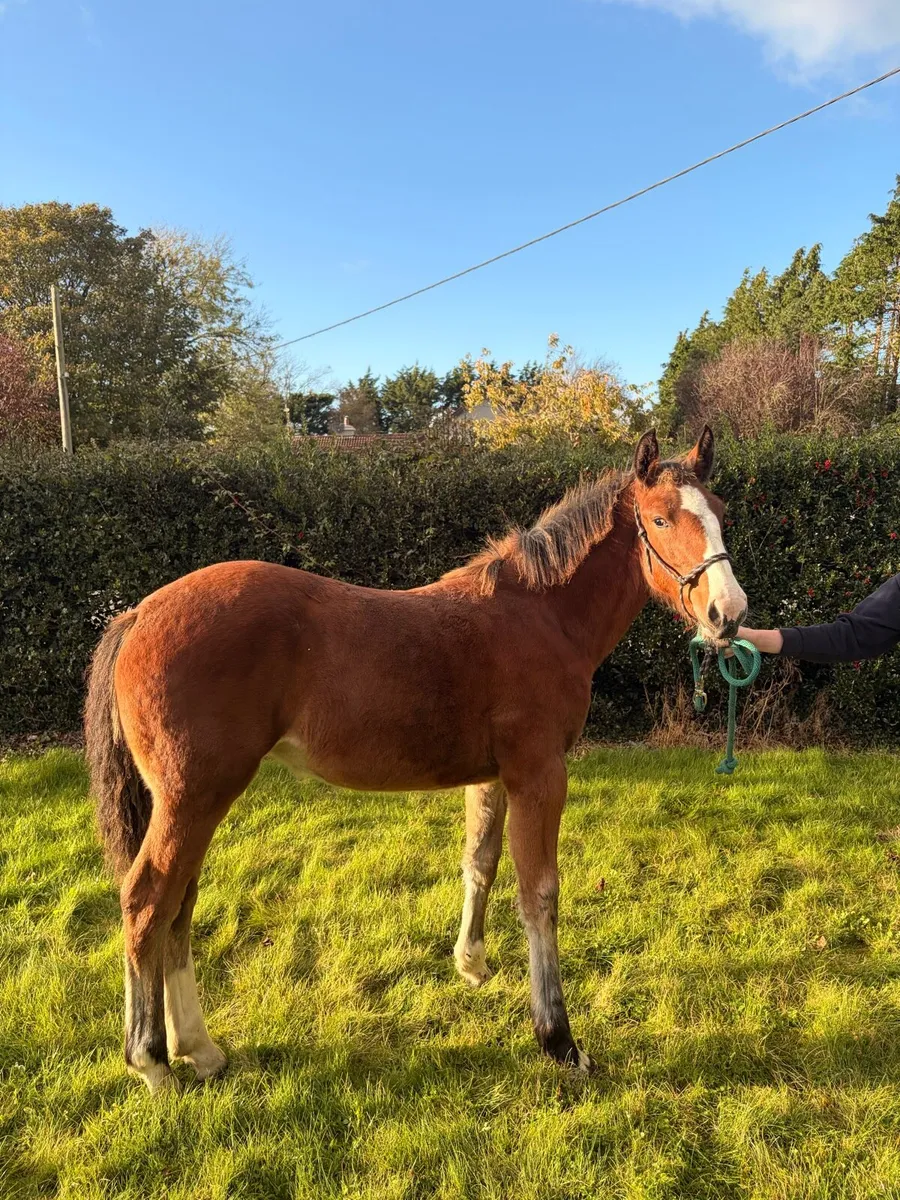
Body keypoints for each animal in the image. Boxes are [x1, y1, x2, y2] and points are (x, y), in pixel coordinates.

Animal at [84, 425, 747, 1093]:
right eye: (661, 519)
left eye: (721, 513)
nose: (729, 613)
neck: (541, 614)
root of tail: (137, 613)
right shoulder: (539, 775)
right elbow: (539, 896)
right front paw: (560, 1042)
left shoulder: (494, 778)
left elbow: (480, 863)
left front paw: (471, 964)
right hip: (194, 798)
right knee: (148, 902)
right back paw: (152, 1062)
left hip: (193, 803)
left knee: (178, 907)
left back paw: (198, 1048)